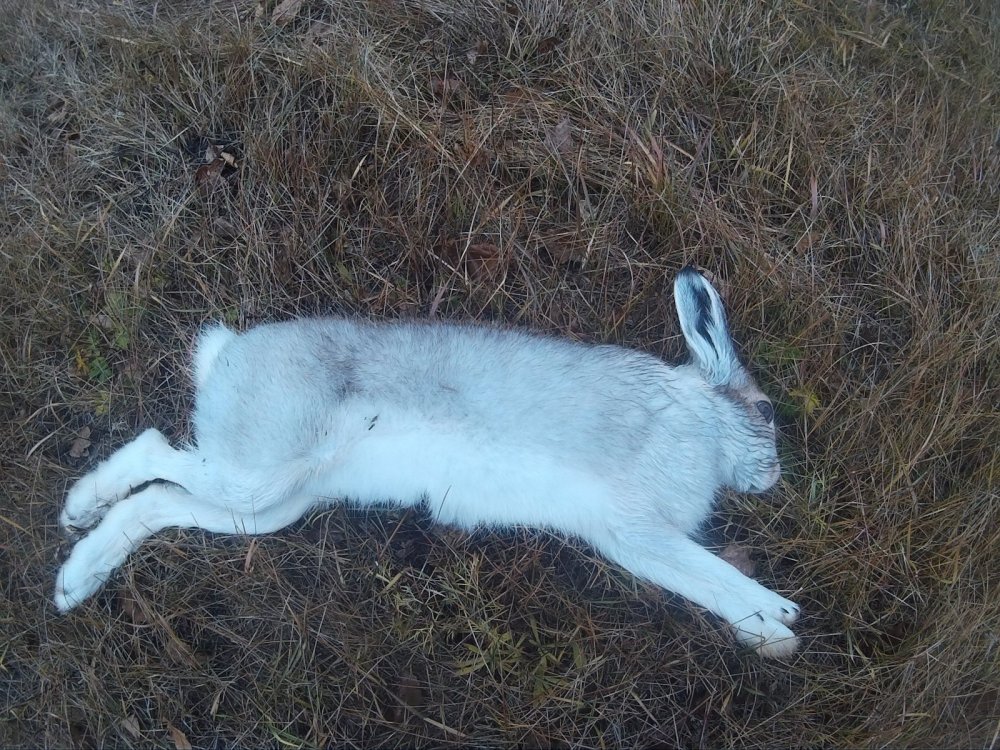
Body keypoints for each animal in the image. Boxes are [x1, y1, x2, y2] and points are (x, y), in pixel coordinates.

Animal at [55, 267, 800, 657]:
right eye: (766, 412)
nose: (774, 478)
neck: (702, 421)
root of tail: (226, 355)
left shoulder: (635, 542)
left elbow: (702, 584)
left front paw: (769, 633)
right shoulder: (639, 529)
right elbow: (711, 573)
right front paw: (781, 617)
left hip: (271, 506)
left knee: (159, 503)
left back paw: (76, 578)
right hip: (257, 470)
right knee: (155, 448)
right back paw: (76, 513)